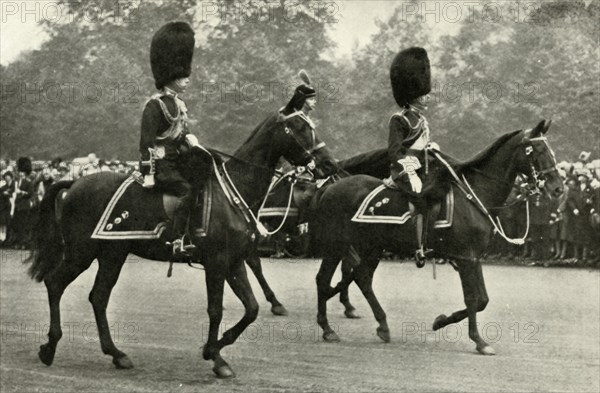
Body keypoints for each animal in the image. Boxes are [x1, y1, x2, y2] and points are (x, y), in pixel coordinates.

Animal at [25, 109, 330, 376]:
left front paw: (216, 348)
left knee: (98, 297)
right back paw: (50, 346)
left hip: (112, 255)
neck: (233, 192)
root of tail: (73, 184)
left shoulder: (233, 262)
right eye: (300, 128)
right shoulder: (216, 263)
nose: (329, 164)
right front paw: (215, 357)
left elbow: (251, 309)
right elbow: (216, 310)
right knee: (55, 284)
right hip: (81, 252)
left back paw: (116, 354)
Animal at [312, 121, 564, 354]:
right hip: (336, 245)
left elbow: (482, 299)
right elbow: (472, 299)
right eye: (537, 151)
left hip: (372, 247)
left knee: (362, 278)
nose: (558, 189)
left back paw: (381, 325)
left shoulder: (473, 256)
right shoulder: (465, 256)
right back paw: (327, 329)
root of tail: (330, 188)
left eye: (551, 151)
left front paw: (441, 321)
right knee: (324, 279)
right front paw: (479, 341)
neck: (474, 195)